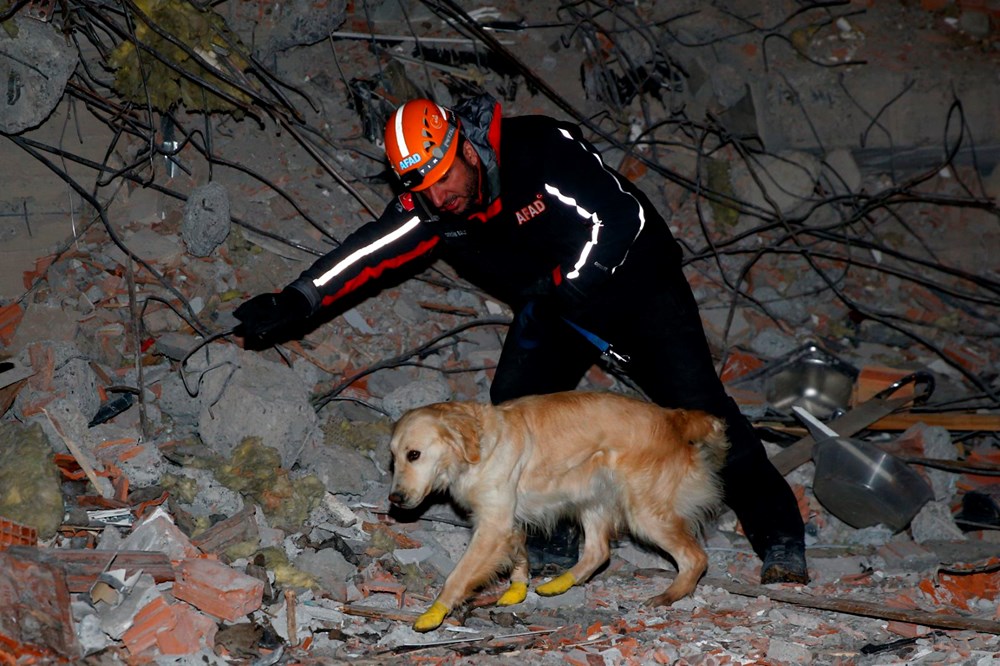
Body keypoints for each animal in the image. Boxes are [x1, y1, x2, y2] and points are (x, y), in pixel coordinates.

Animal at [386, 390, 732, 628]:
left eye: (414, 454)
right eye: (393, 457)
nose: (395, 499)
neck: (481, 445)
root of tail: (675, 418)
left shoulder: (493, 525)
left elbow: (458, 575)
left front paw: (435, 611)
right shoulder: (506, 521)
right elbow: (518, 555)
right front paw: (518, 588)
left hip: (644, 514)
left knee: (695, 558)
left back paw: (668, 596)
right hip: (593, 498)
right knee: (598, 552)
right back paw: (560, 582)